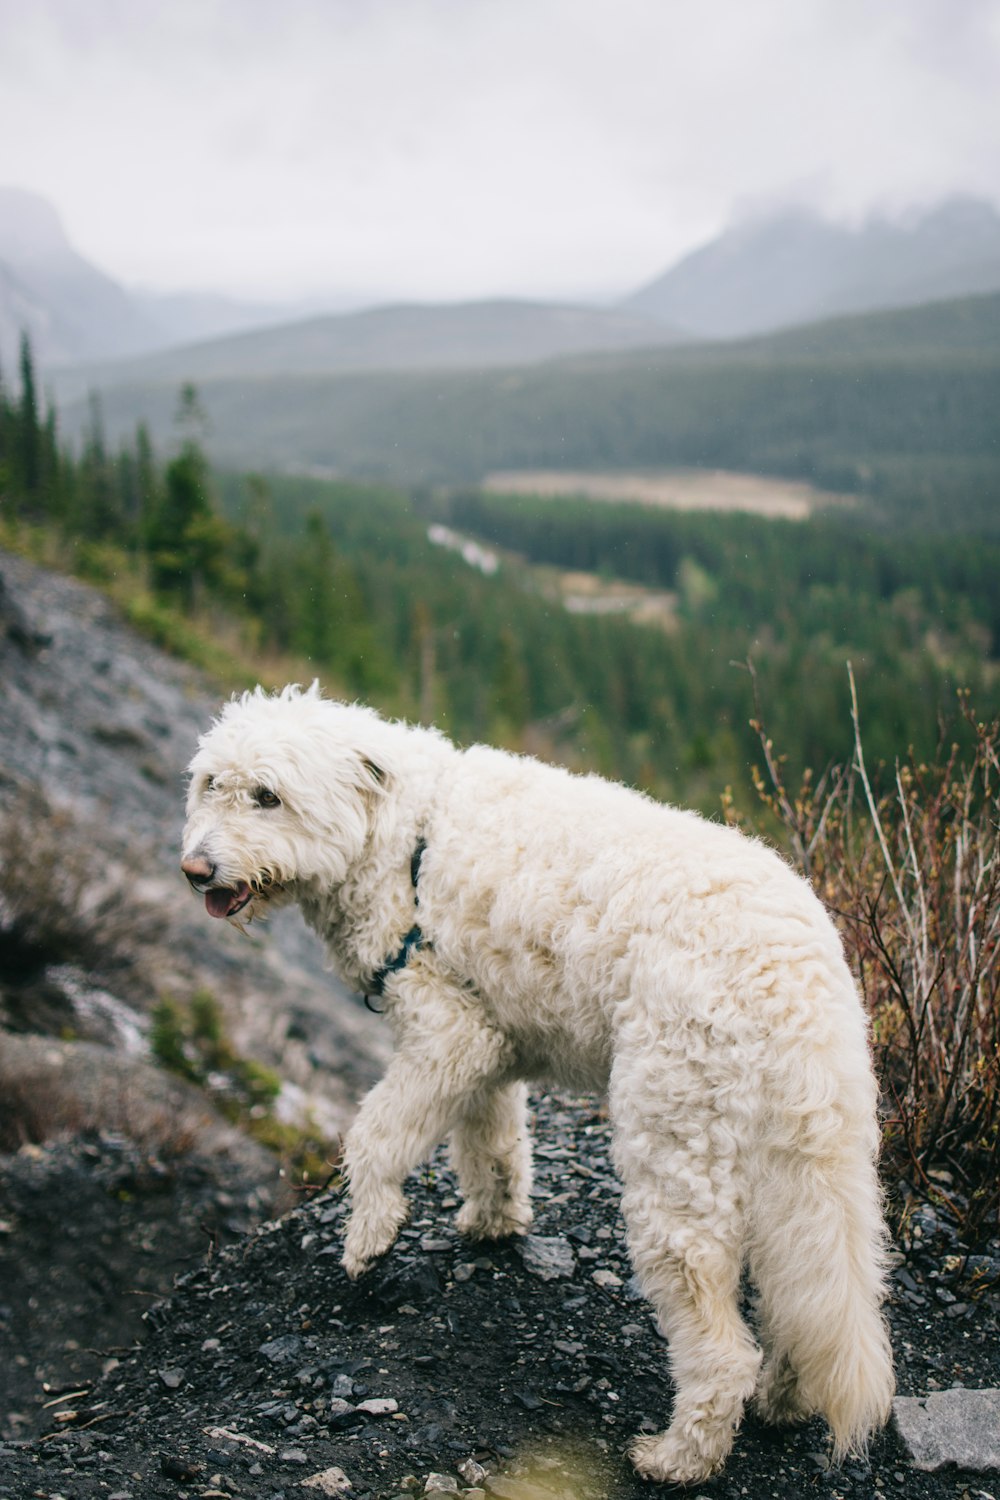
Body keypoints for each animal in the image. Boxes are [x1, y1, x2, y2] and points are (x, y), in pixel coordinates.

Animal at [183, 687, 893, 1482]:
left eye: (268, 796)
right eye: (209, 784)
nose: (195, 868)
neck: (402, 842)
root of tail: (798, 979)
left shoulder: (446, 1033)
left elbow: (374, 1138)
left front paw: (369, 1233)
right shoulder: (486, 1048)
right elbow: (492, 1146)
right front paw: (493, 1222)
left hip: (678, 1151)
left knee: (720, 1347)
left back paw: (677, 1457)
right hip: (798, 1168)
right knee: (801, 1301)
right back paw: (782, 1402)